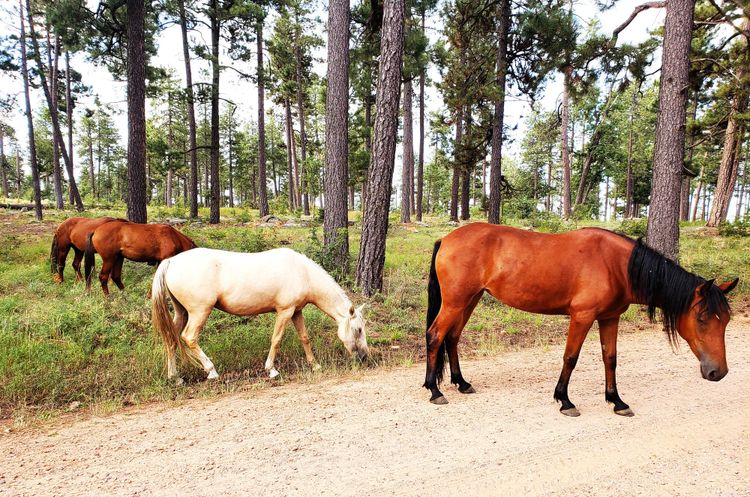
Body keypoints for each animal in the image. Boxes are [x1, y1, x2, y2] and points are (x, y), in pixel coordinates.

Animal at [150, 247, 368, 382]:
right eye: (358, 329)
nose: (365, 356)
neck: (303, 273)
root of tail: (171, 261)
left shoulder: (296, 311)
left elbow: (304, 337)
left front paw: (315, 365)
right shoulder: (285, 311)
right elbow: (276, 340)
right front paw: (271, 370)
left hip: (182, 313)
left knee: (171, 339)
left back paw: (175, 377)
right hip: (199, 312)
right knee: (189, 337)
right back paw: (211, 371)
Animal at [424, 223, 738, 416]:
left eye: (725, 321)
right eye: (702, 318)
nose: (718, 372)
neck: (615, 264)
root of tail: (446, 239)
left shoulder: (610, 318)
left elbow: (610, 358)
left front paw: (616, 401)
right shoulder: (582, 317)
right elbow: (571, 357)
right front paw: (564, 400)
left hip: (470, 300)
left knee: (453, 337)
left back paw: (461, 383)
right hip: (456, 302)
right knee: (436, 335)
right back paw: (434, 390)